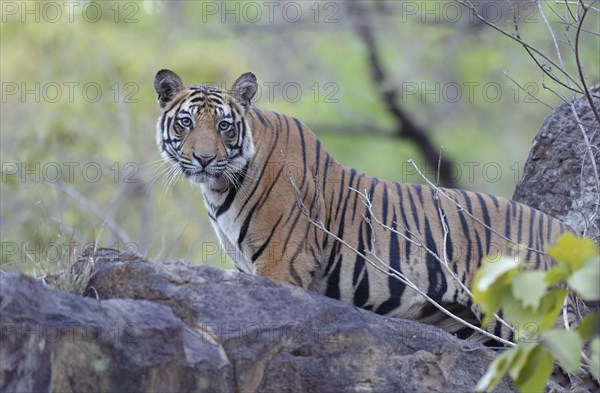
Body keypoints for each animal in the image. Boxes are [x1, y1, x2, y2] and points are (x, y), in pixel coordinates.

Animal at [152, 70, 568, 344]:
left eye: (224, 126)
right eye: (186, 122)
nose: (204, 159)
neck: (220, 187)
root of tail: (564, 232)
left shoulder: (281, 266)